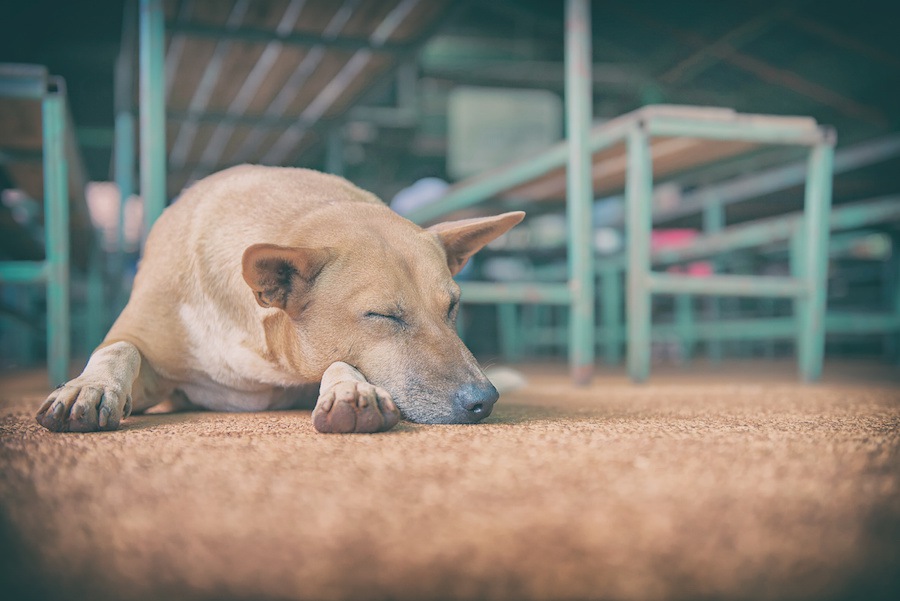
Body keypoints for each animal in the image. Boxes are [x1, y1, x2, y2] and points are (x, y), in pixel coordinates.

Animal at [35, 165, 524, 432]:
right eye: (382, 315)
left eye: (452, 307)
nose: (485, 400)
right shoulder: (153, 362)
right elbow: (119, 349)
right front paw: (90, 386)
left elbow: (336, 361)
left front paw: (350, 389)